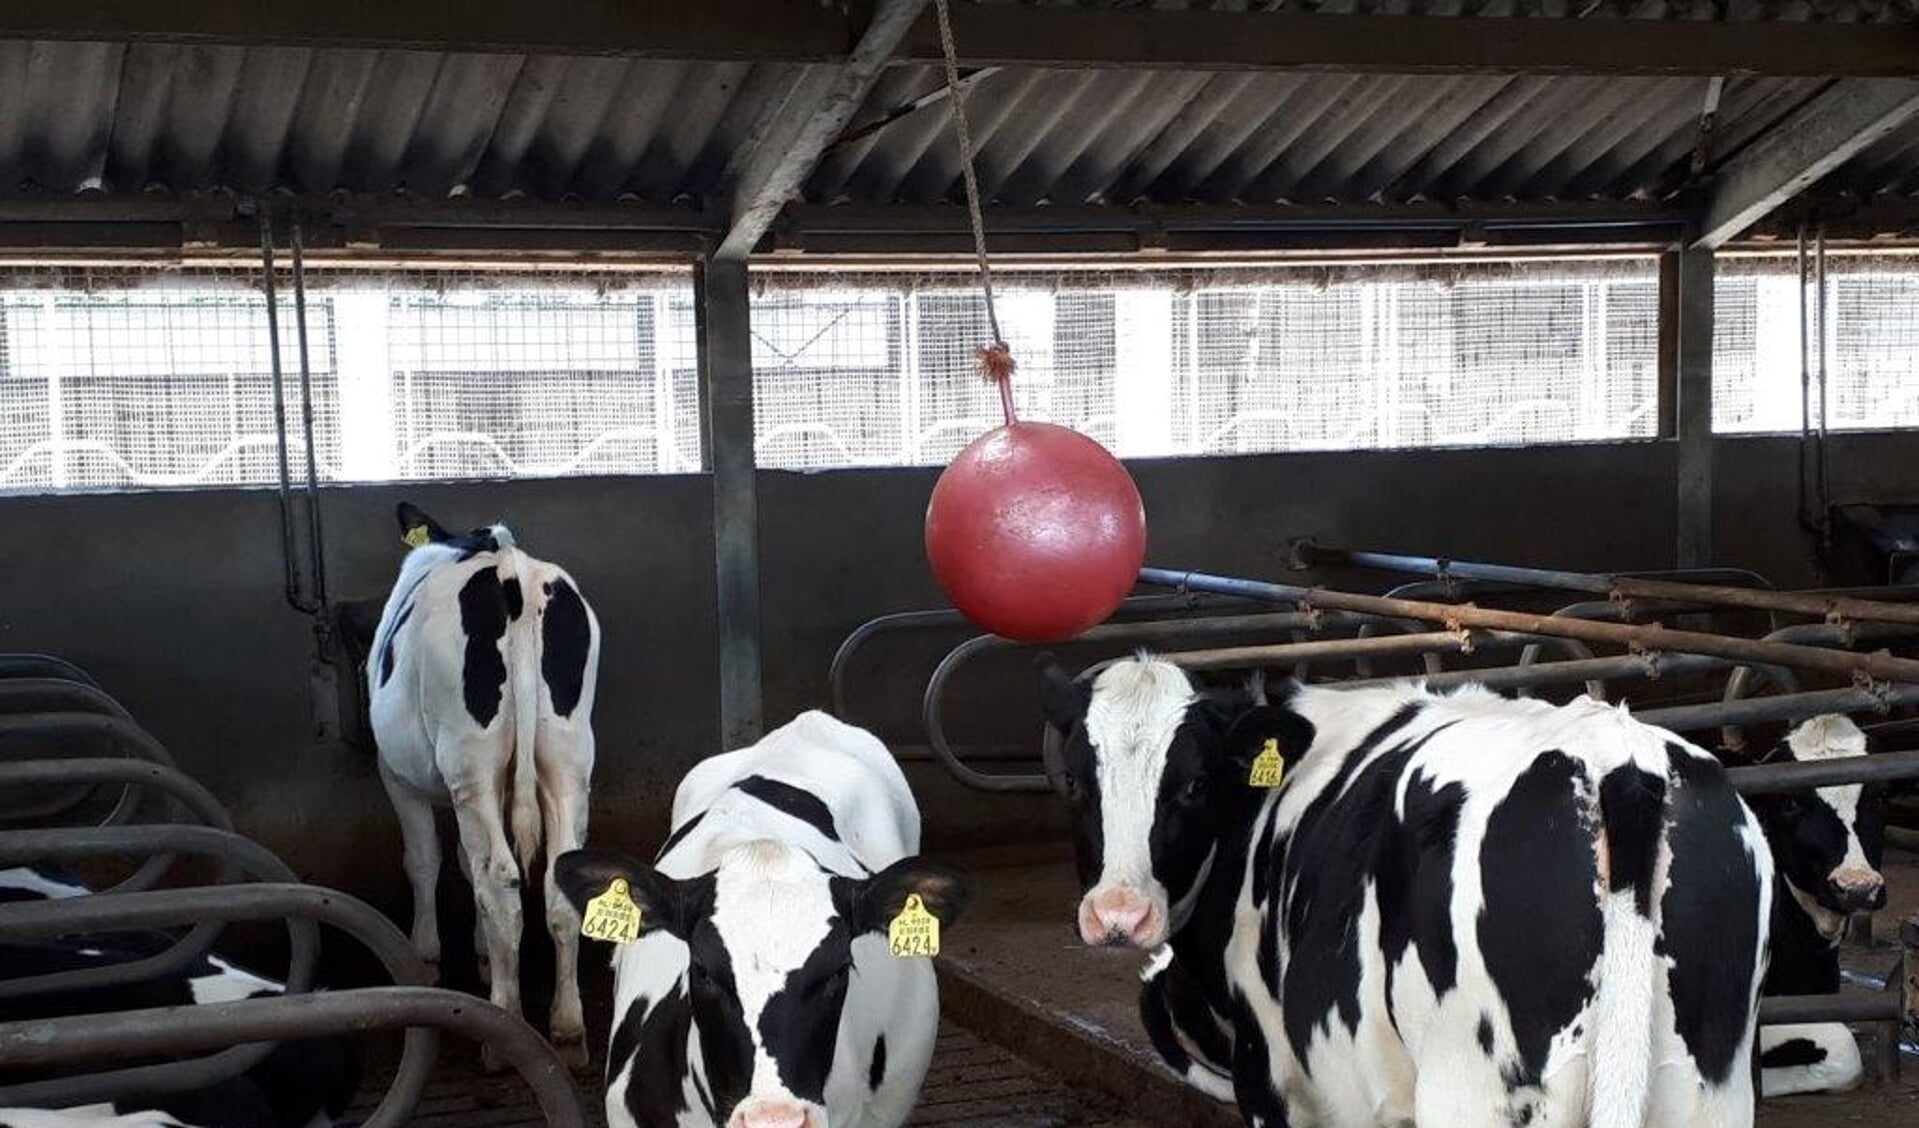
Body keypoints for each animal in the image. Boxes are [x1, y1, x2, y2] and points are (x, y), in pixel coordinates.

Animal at [362, 502, 594, 1066]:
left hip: (470, 766)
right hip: (569, 759)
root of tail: (511, 570)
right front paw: (483, 952)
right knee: (557, 877)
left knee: (500, 879)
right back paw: (568, 1027)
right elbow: (465, 865)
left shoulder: (395, 773)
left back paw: (504, 1031)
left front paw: (424, 955)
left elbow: (425, 860)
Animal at [1043, 656, 1773, 1128]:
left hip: (1475, 1091)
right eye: (1074, 782)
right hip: (1708, 1090)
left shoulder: (1275, 1080)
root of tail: (1614, 758)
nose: (1117, 915)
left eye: (1194, 785)